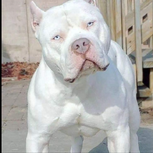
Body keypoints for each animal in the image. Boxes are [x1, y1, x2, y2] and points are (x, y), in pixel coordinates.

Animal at [26, 0, 140, 152]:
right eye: (57, 37)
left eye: (90, 23)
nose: (80, 44)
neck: (77, 87)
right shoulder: (38, 137)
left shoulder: (117, 133)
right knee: (77, 139)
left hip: (132, 114)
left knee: (133, 136)